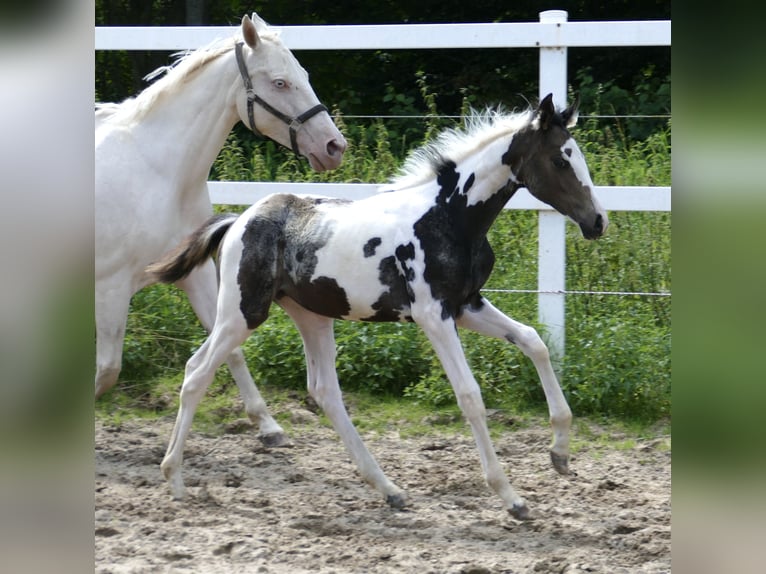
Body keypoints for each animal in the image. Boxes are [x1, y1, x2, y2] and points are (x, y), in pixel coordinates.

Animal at [94, 13, 346, 452]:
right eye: (279, 82)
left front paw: (268, 426)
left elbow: (229, 348)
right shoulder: (110, 286)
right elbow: (107, 369)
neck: (159, 172)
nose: (334, 146)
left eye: (304, 75)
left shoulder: (196, 275)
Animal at [147, 97, 608, 520]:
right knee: (198, 372)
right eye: (559, 160)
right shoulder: (434, 316)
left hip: (311, 316)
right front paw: (511, 497)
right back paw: (174, 479)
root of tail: (238, 221)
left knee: (323, 390)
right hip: (242, 312)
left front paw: (560, 454)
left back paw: (389, 489)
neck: (448, 216)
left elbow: (534, 342)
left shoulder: (466, 306)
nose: (598, 221)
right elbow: (470, 395)